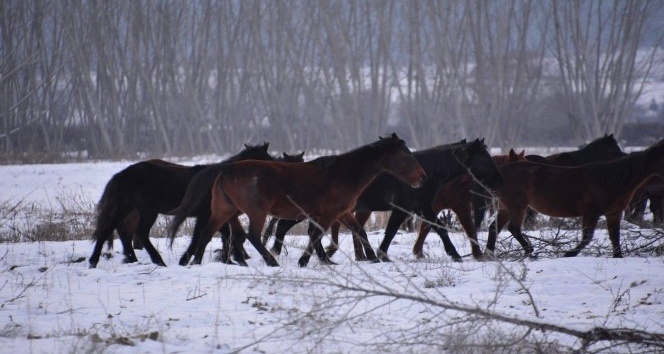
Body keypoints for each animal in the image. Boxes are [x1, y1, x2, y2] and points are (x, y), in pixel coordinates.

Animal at [87, 142, 272, 266]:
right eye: (266, 159)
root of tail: (121, 175)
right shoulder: (207, 215)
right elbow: (202, 236)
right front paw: (187, 260)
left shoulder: (212, 216)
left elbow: (223, 236)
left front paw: (230, 260)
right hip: (146, 211)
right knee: (138, 233)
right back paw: (157, 261)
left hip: (127, 208)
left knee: (112, 231)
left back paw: (110, 260)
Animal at [172, 134, 426, 266]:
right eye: (405, 153)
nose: (422, 176)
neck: (344, 173)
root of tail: (226, 169)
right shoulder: (328, 214)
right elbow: (316, 235)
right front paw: (306, 261)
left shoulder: (342, 212)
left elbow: (358, 231)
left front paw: (371, 258)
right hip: (255, 212)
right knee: (252, 235)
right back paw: (270, 261)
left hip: (225, 210)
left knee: (208, 232)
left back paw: (197, 262)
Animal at [486, 138, 664, 258]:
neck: (611, 179)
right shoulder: (591, 213)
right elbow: (587, 237)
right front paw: (568, 254)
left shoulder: (614, 213)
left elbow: (615, 238)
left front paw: (618, 256)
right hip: (517, 206)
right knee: (513, 228)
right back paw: (530, 252)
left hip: (507, 208)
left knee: (495, 228)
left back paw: (488, 254)